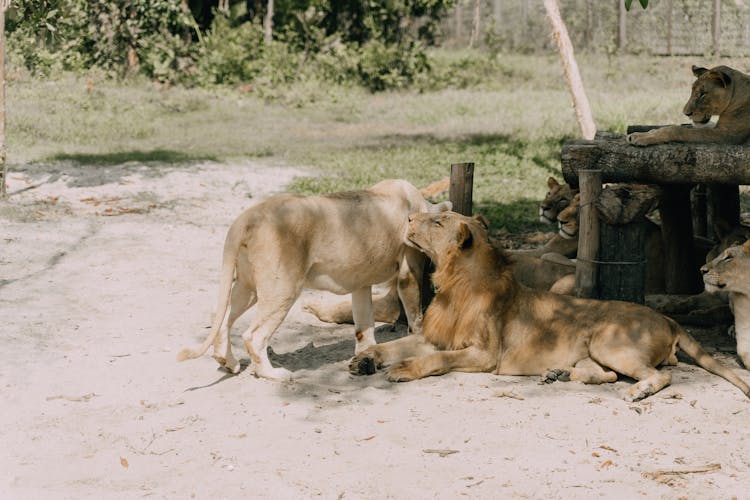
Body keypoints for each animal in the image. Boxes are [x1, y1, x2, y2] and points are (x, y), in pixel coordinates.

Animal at [176, 180, 452, 378]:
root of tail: (248, 217)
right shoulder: (409, 269)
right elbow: (414, 313)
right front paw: (415, 338)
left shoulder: (361, 282)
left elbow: (364, 325)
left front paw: (366, 357)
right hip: (283, 288)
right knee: (253, 336)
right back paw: (274, 375)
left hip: (248, 287)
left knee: (220, 319)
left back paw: (228, 363)